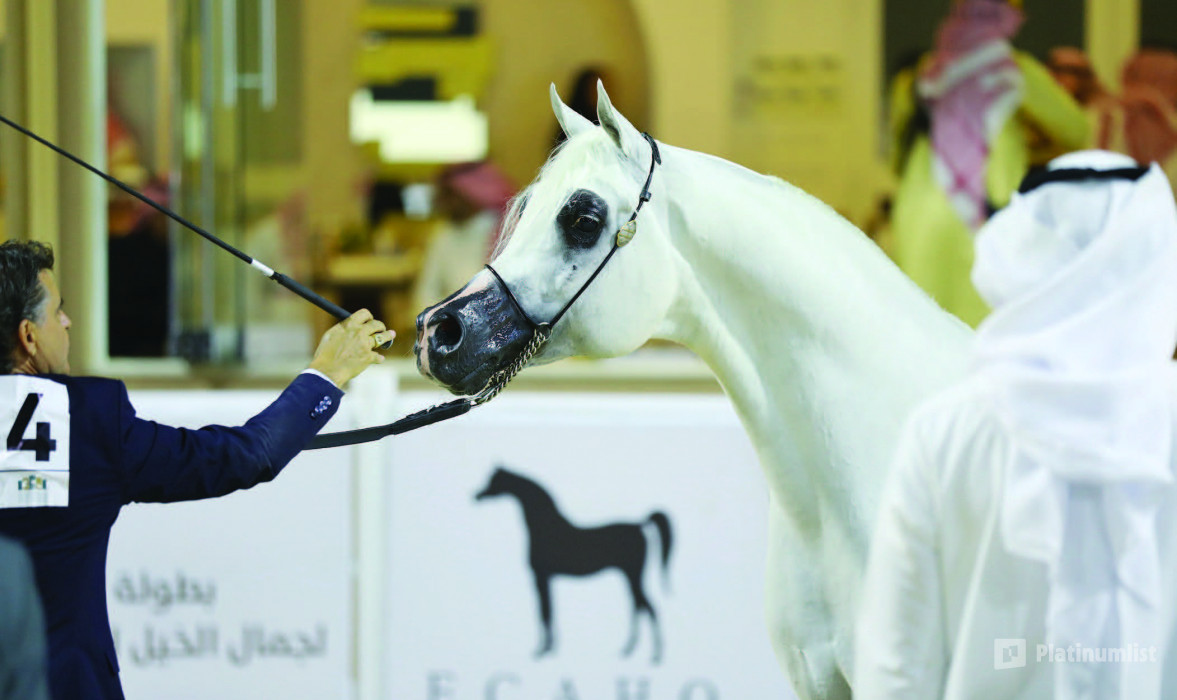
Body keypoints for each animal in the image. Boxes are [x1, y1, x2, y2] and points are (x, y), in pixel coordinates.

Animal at [474, 466, 673, 664]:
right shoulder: (547, 578)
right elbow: (549, 611)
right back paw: (629, 650)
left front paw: (542, 650)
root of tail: (639, 525)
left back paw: (654, 656)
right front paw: (550, 648)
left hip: (633, 574)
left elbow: (544, 612)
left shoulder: (541, 576)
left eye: (495, 480)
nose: (476, 496)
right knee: (638, 606)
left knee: (647, 607)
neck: (544, 528)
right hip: (630, 575)